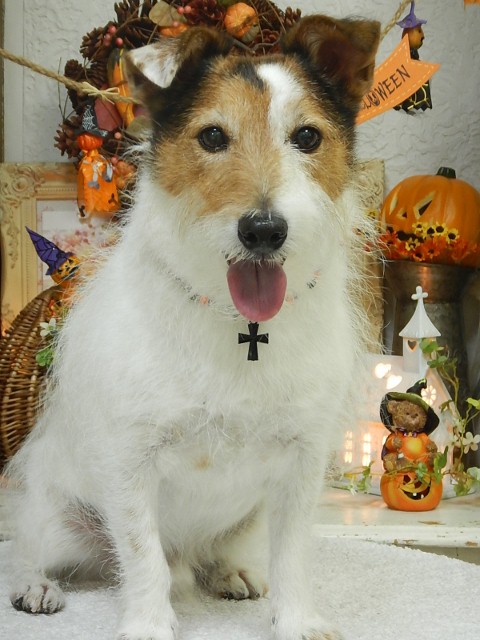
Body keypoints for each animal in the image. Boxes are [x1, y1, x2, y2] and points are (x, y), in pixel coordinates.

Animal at [7, 14, 379, 640]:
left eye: (307, 138)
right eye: (211, 137)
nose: (263, 231)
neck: (239, 325)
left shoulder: (303, 464)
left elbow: (293, 554)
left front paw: (297, 619)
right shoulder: (131, 461)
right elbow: (141, 555)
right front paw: (149, 624)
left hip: (248, 518)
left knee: (215, 555)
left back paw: (230, 572)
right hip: (58, 518)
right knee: (30, 550)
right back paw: (37, 586)